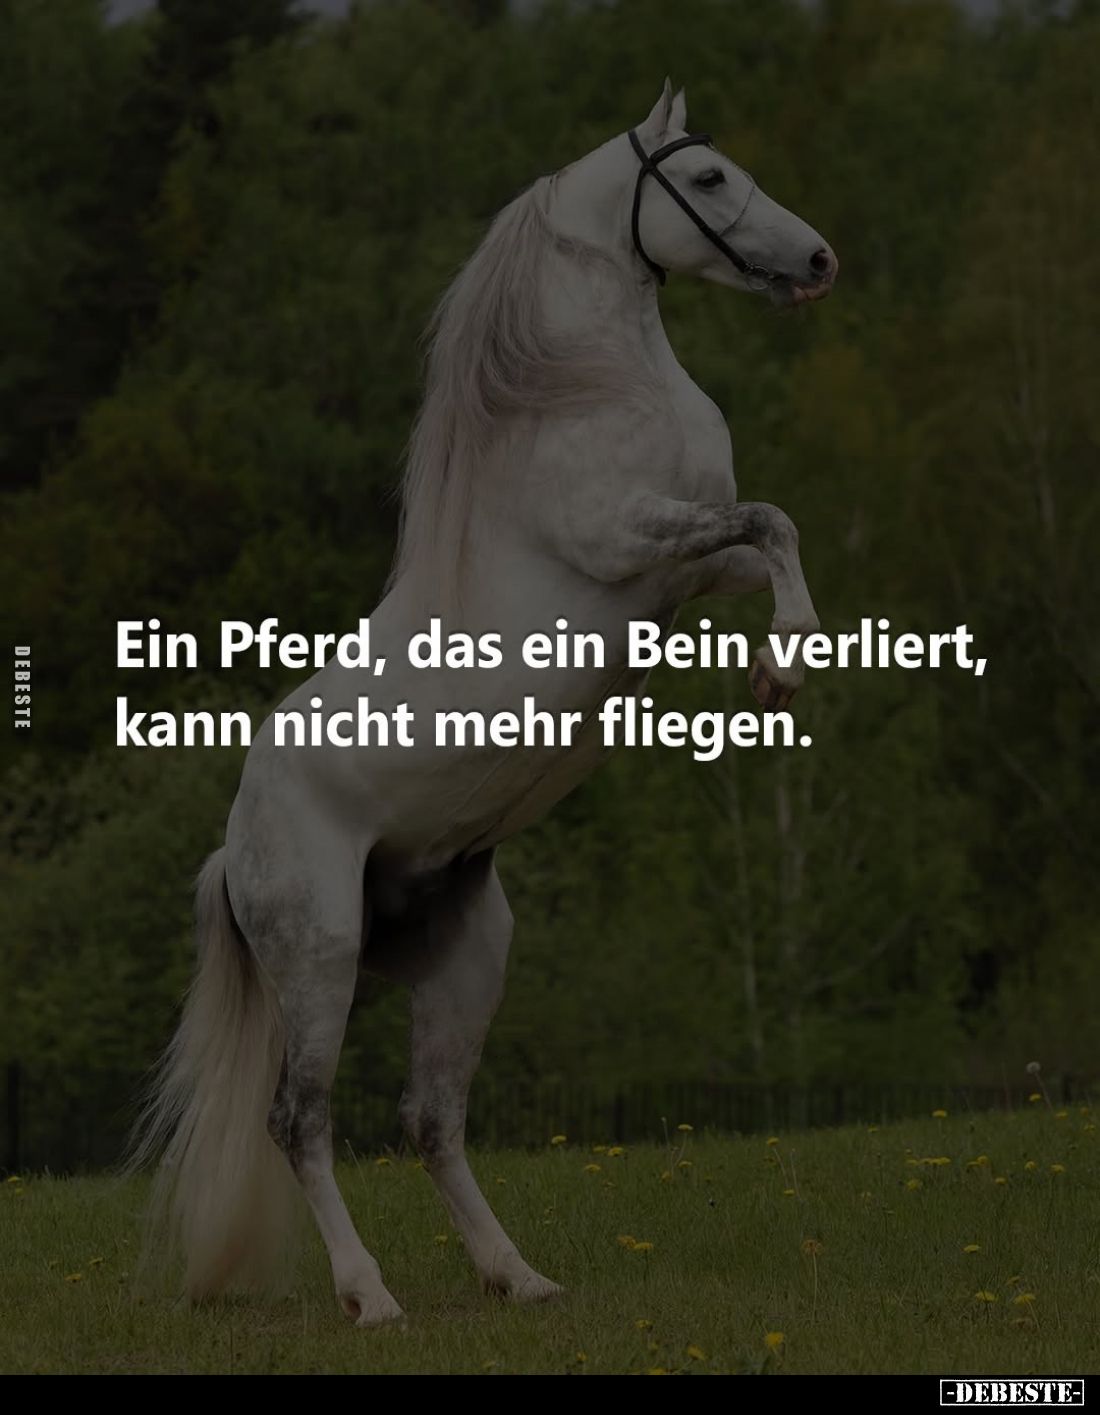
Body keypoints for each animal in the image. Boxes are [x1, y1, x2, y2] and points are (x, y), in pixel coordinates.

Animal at [133, 81, 835, 1326]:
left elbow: (768, 533)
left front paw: (780, 661)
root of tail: (231, 849)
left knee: (430, 1119)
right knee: (298, 1120)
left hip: (467, 956)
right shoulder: (630, 543)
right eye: (706, 180)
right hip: (319, 955)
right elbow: (767, 517)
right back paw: (370, 1297)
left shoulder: (684, 571)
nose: (815, 260)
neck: (585, 395)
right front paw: (786, 665)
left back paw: (518, 1275)